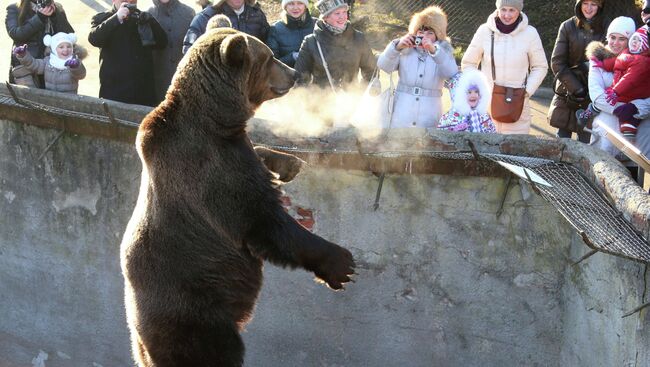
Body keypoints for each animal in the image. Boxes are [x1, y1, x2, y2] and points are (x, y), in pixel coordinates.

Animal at [121, 28, 354, 367]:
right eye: (269, 56)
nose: (294, 73)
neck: (216, 118)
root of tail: (139, 332)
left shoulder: (233, 147)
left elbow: (260, 158)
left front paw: (289, 163)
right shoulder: (213, 170)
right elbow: (263, 221)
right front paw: (341, 264)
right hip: (196, 311)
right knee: (215, 350)